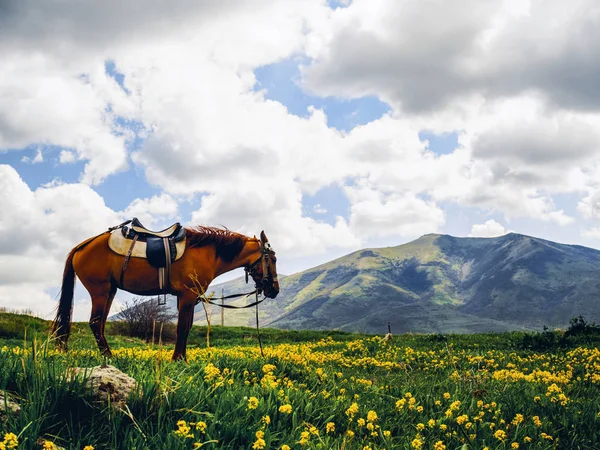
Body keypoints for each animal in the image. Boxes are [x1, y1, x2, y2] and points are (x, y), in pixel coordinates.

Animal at [51, 225, 278, 362]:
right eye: (273, 259)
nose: (274, 290)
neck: (207, 252)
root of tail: (82, 246)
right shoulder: (187, 295)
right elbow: (182, 328)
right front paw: (178, 359)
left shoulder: (187, 298)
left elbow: (185, 327)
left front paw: (181, 357)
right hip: (100, 290)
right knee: (95, 323)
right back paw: (109, 356)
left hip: (110, 291)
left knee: (100, 324)